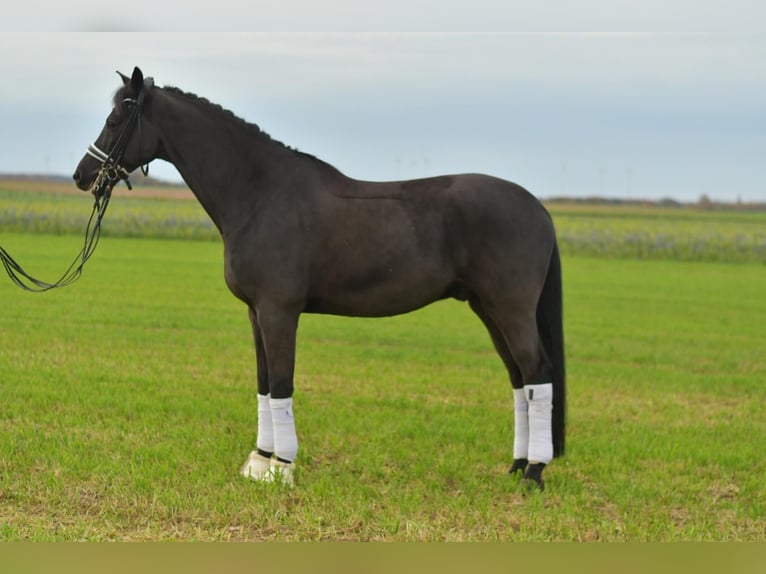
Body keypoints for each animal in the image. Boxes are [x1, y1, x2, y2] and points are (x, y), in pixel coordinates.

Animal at [73, 67, 566, 490]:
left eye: (116, 119)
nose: (82, 175)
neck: (260, 194)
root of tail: (538, 209)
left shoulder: (279, 312)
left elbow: (282, 383)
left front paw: (283, 467)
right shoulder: (255, 313)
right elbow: (263, 382)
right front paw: (258, 462)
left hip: (510, 308)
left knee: (537, 372)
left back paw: (533, 474)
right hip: (488, 309)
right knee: (519, 379)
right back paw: (516, 465)